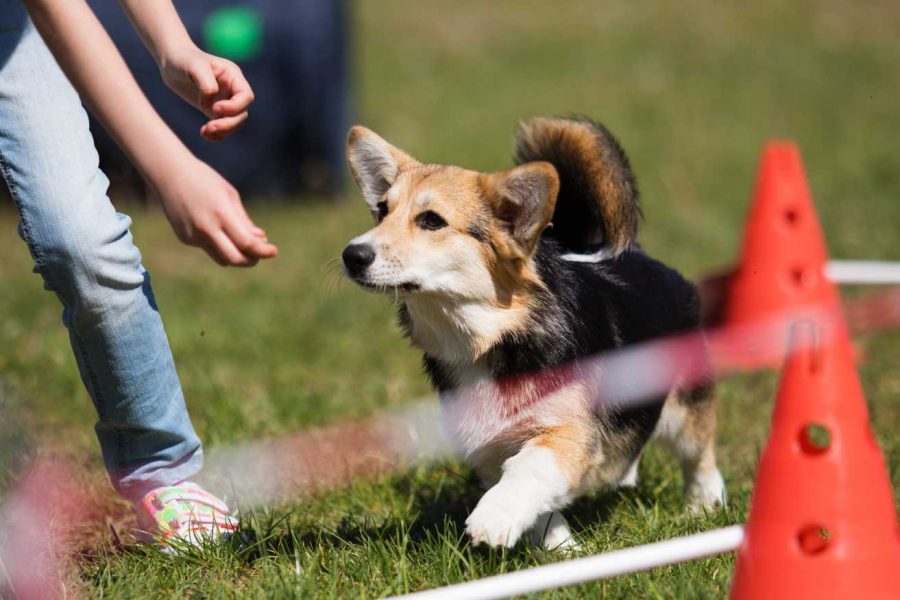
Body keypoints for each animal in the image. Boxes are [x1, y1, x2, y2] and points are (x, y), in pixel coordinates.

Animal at [340, 116, 724, 548]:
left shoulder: (567, 433)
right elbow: (541, 508)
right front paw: (561, 549)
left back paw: (704, 507)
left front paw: (493, 519)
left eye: (431, 220)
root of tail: (639, 255)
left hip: (685, 407)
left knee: (699, 455)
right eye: (381, 211)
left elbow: (529, 469)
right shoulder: (488, 446)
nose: (352, 255)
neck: (490, 338)